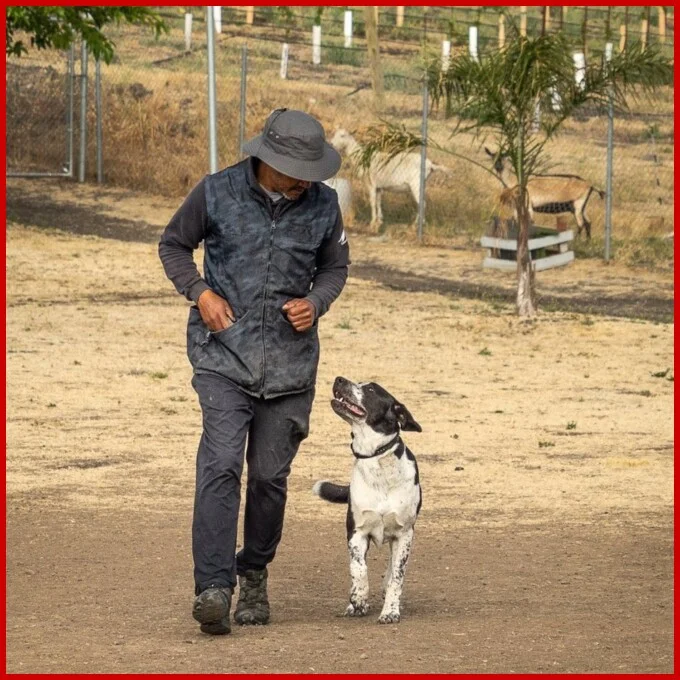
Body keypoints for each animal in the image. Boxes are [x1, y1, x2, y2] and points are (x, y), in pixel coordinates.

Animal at [312, 374, 420, 624]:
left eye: (370, 389)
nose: (339, 379)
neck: (376, 458)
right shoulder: (356, 532)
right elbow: (358, 568)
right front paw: (358, 599)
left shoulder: (404, 534)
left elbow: (397, 576)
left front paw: (390, 611)